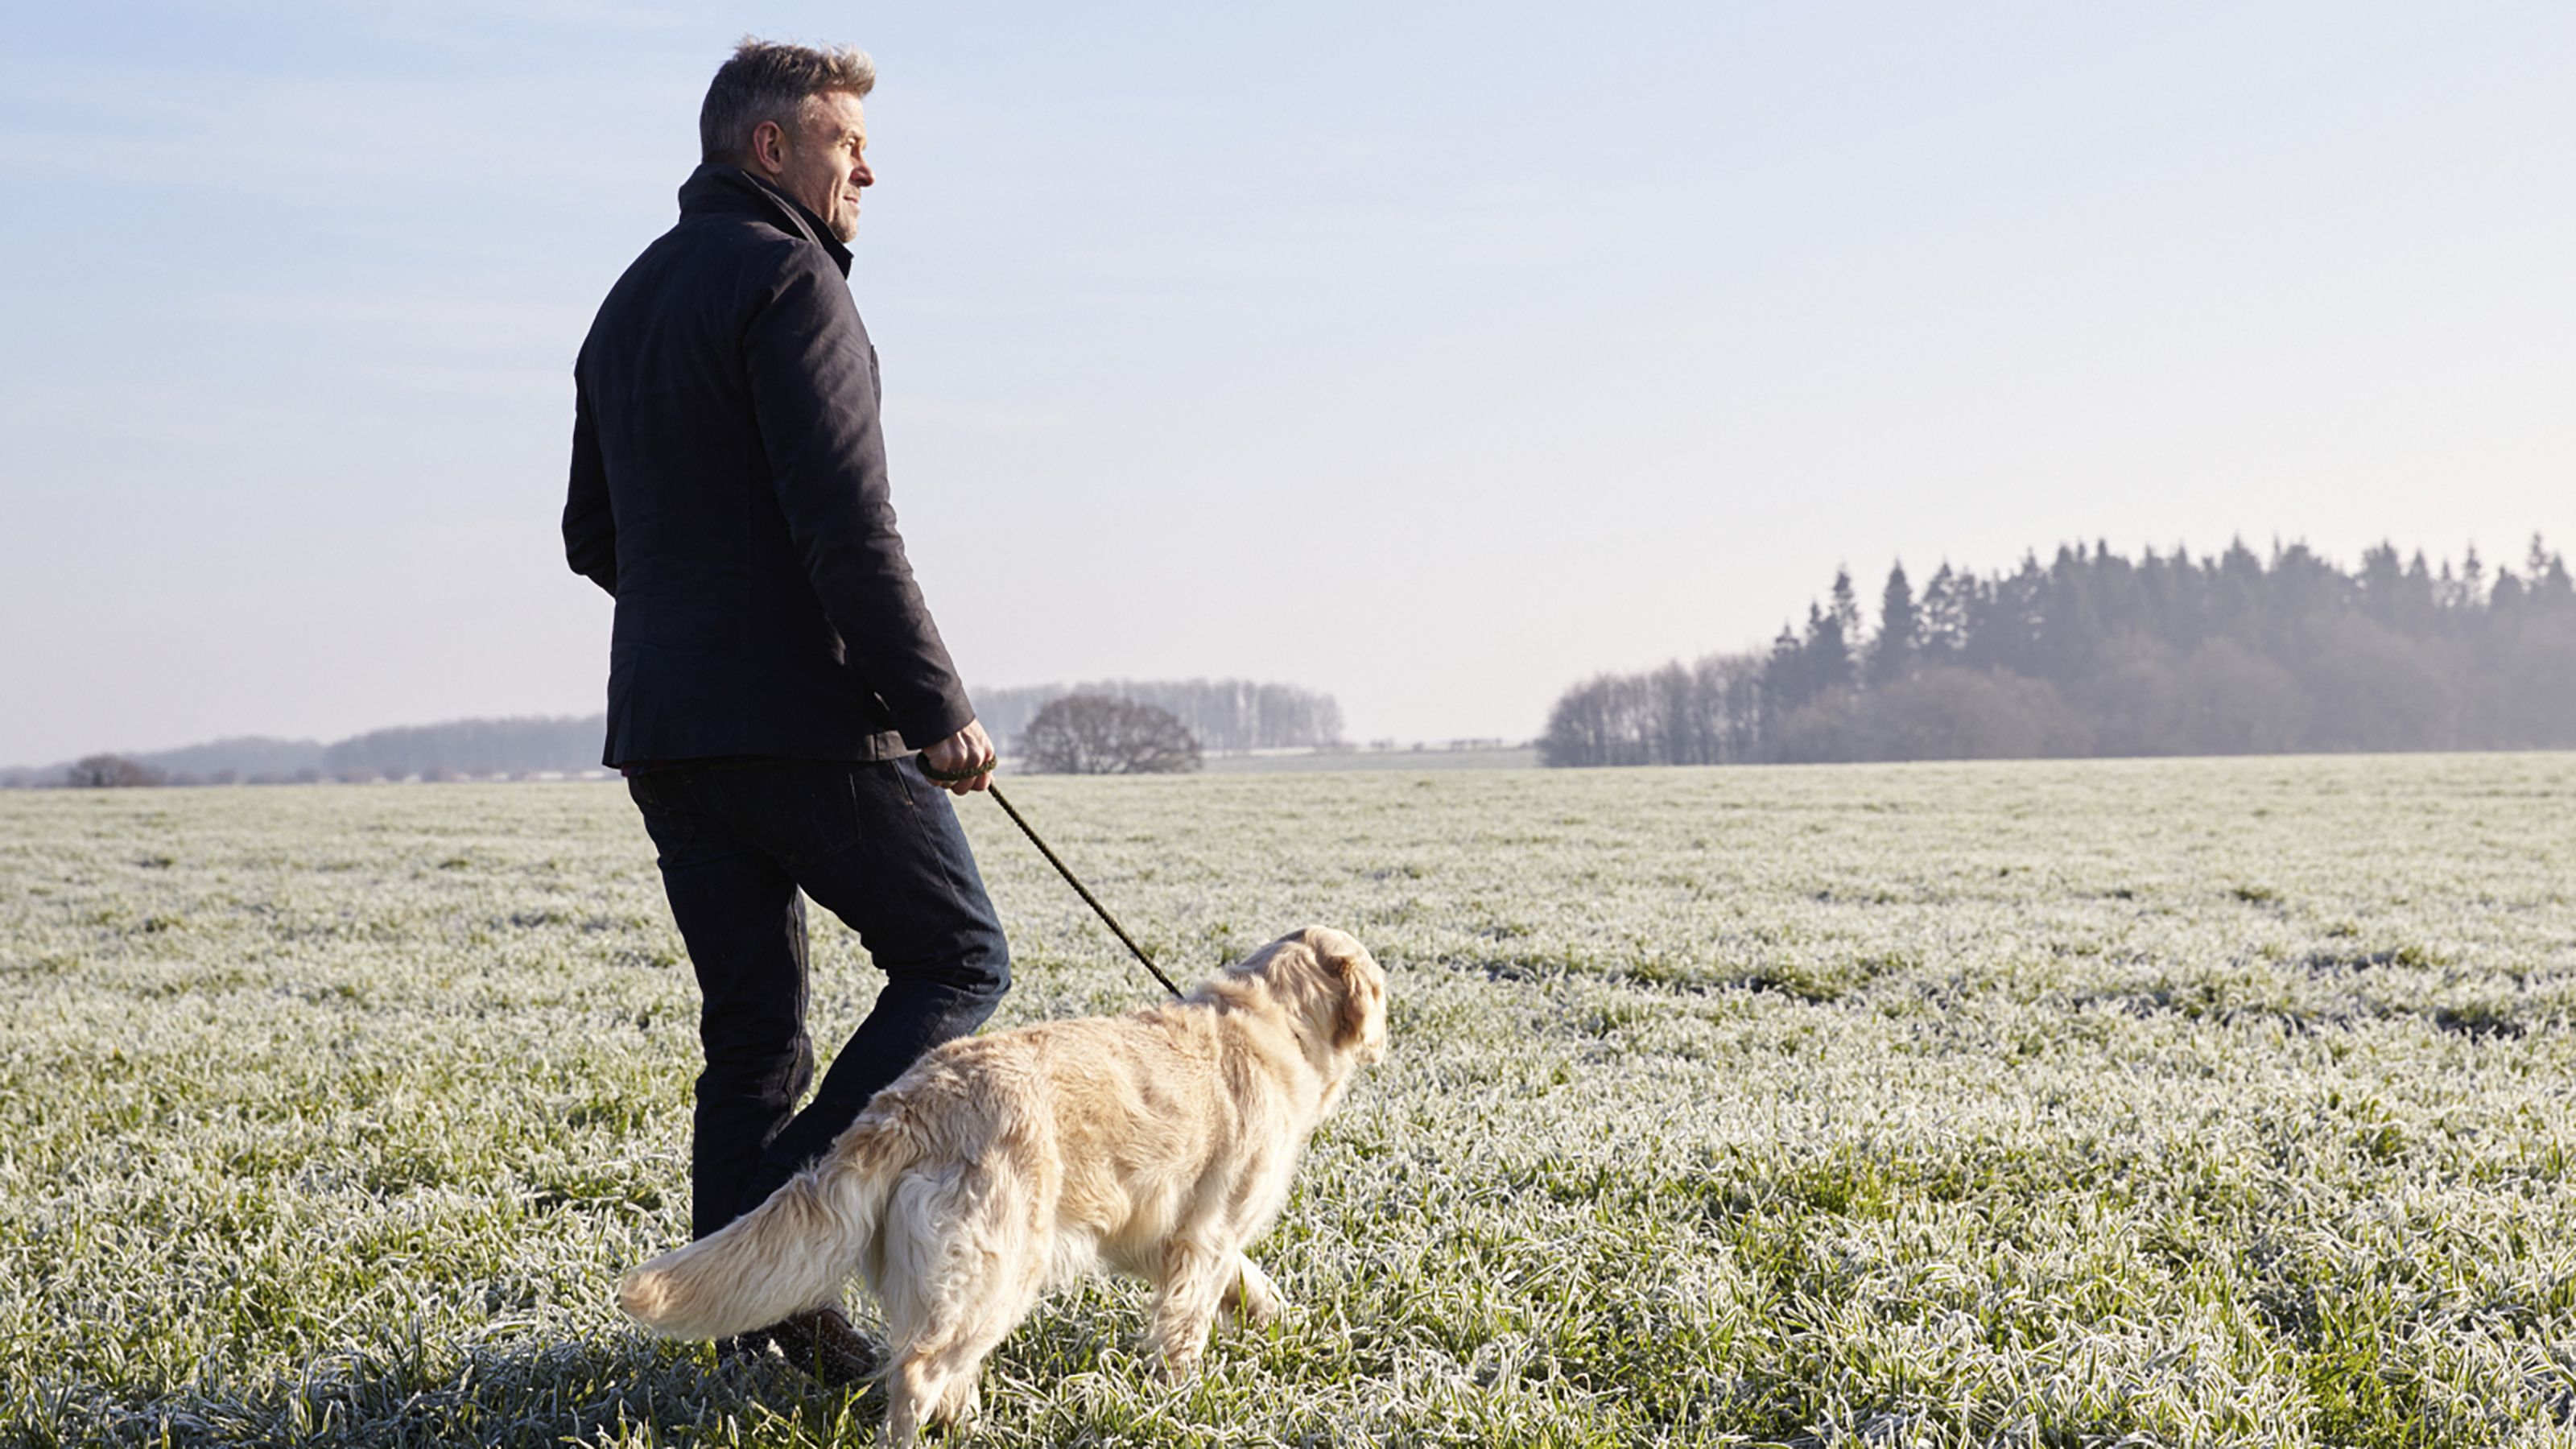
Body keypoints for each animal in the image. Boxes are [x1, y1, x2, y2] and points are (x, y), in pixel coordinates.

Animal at [618, 918, 1391, 1433]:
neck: (1270, 1024)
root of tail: (911, 1100)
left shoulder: (1167, 1234)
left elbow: (1254, 1287)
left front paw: (1292, 1329)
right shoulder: (1206, 1233)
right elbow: (1189, 1327)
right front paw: (1183, 1400)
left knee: (943, 1376)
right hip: (1000, 1268)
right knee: (918, 1374)